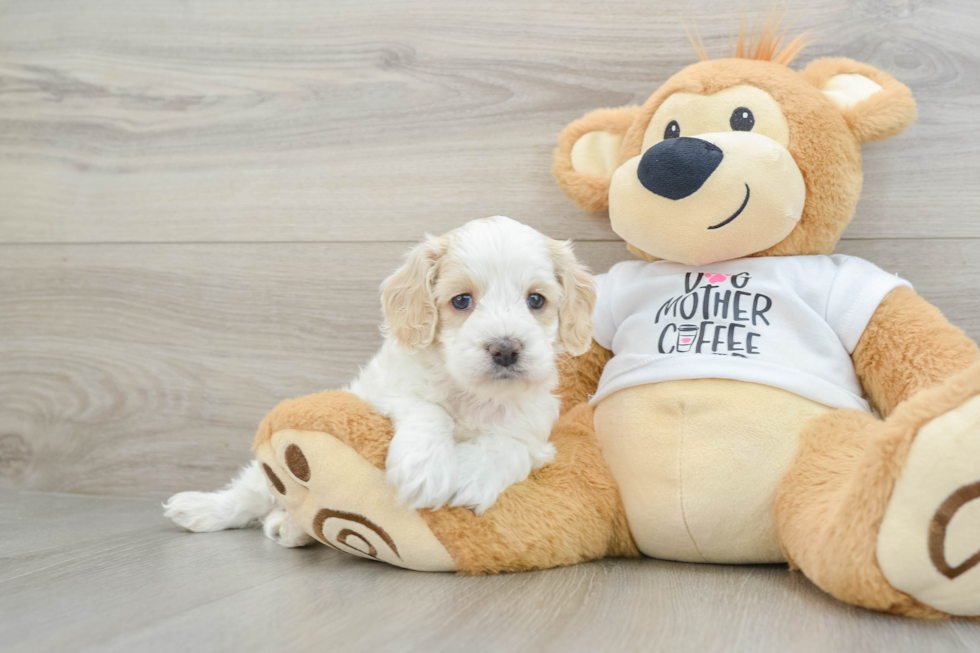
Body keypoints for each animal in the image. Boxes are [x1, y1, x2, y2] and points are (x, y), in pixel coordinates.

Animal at [165, 218, 592, 544]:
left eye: (535, 300)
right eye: (461, 301)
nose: (505, 349)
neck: (473, 395)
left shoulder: (535, 434)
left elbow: (508, 446)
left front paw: (471, 475)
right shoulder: (384, 392)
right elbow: (428, 410)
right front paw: (426, 467)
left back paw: (288, 527)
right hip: (257, 483)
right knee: (249, 493)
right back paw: (200, 509)